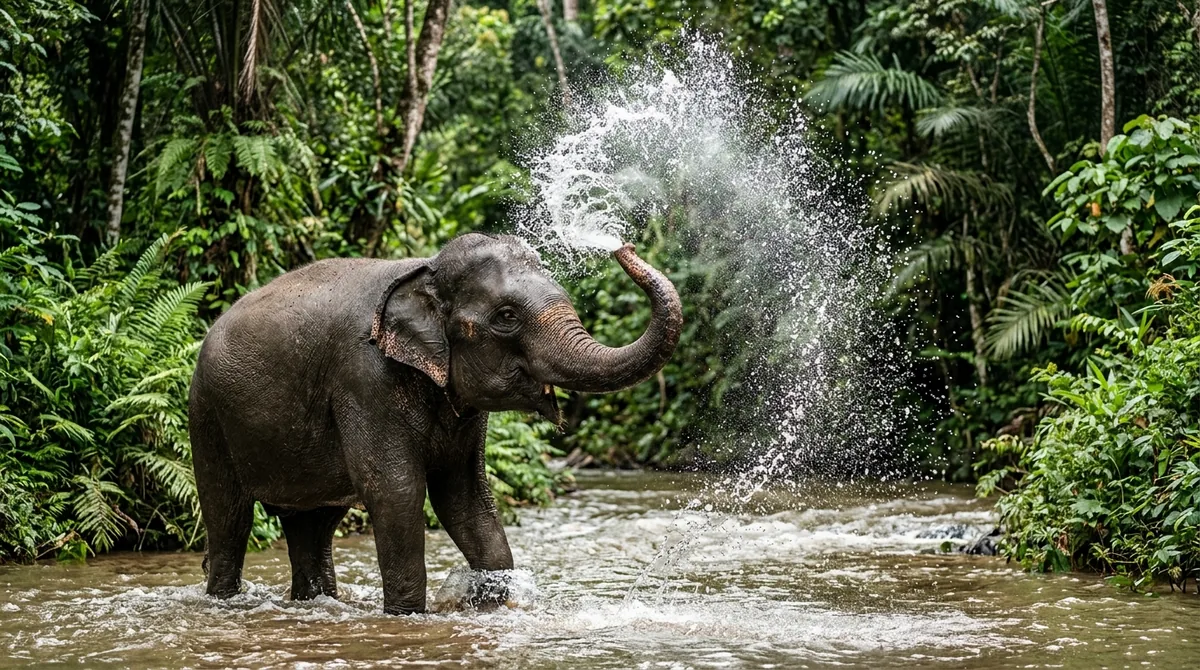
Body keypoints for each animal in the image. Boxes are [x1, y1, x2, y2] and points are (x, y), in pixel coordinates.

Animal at [188, 233, 682, 614]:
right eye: (506, 317)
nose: (623, 246)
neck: (424, 271)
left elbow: (466, 497)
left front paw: (493, 601)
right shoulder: (364, 379)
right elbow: (396, 491)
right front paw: (406, 617)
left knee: (313, 528)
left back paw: (316, 604)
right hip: (207, 414)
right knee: (228, 518)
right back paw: (224, 600)